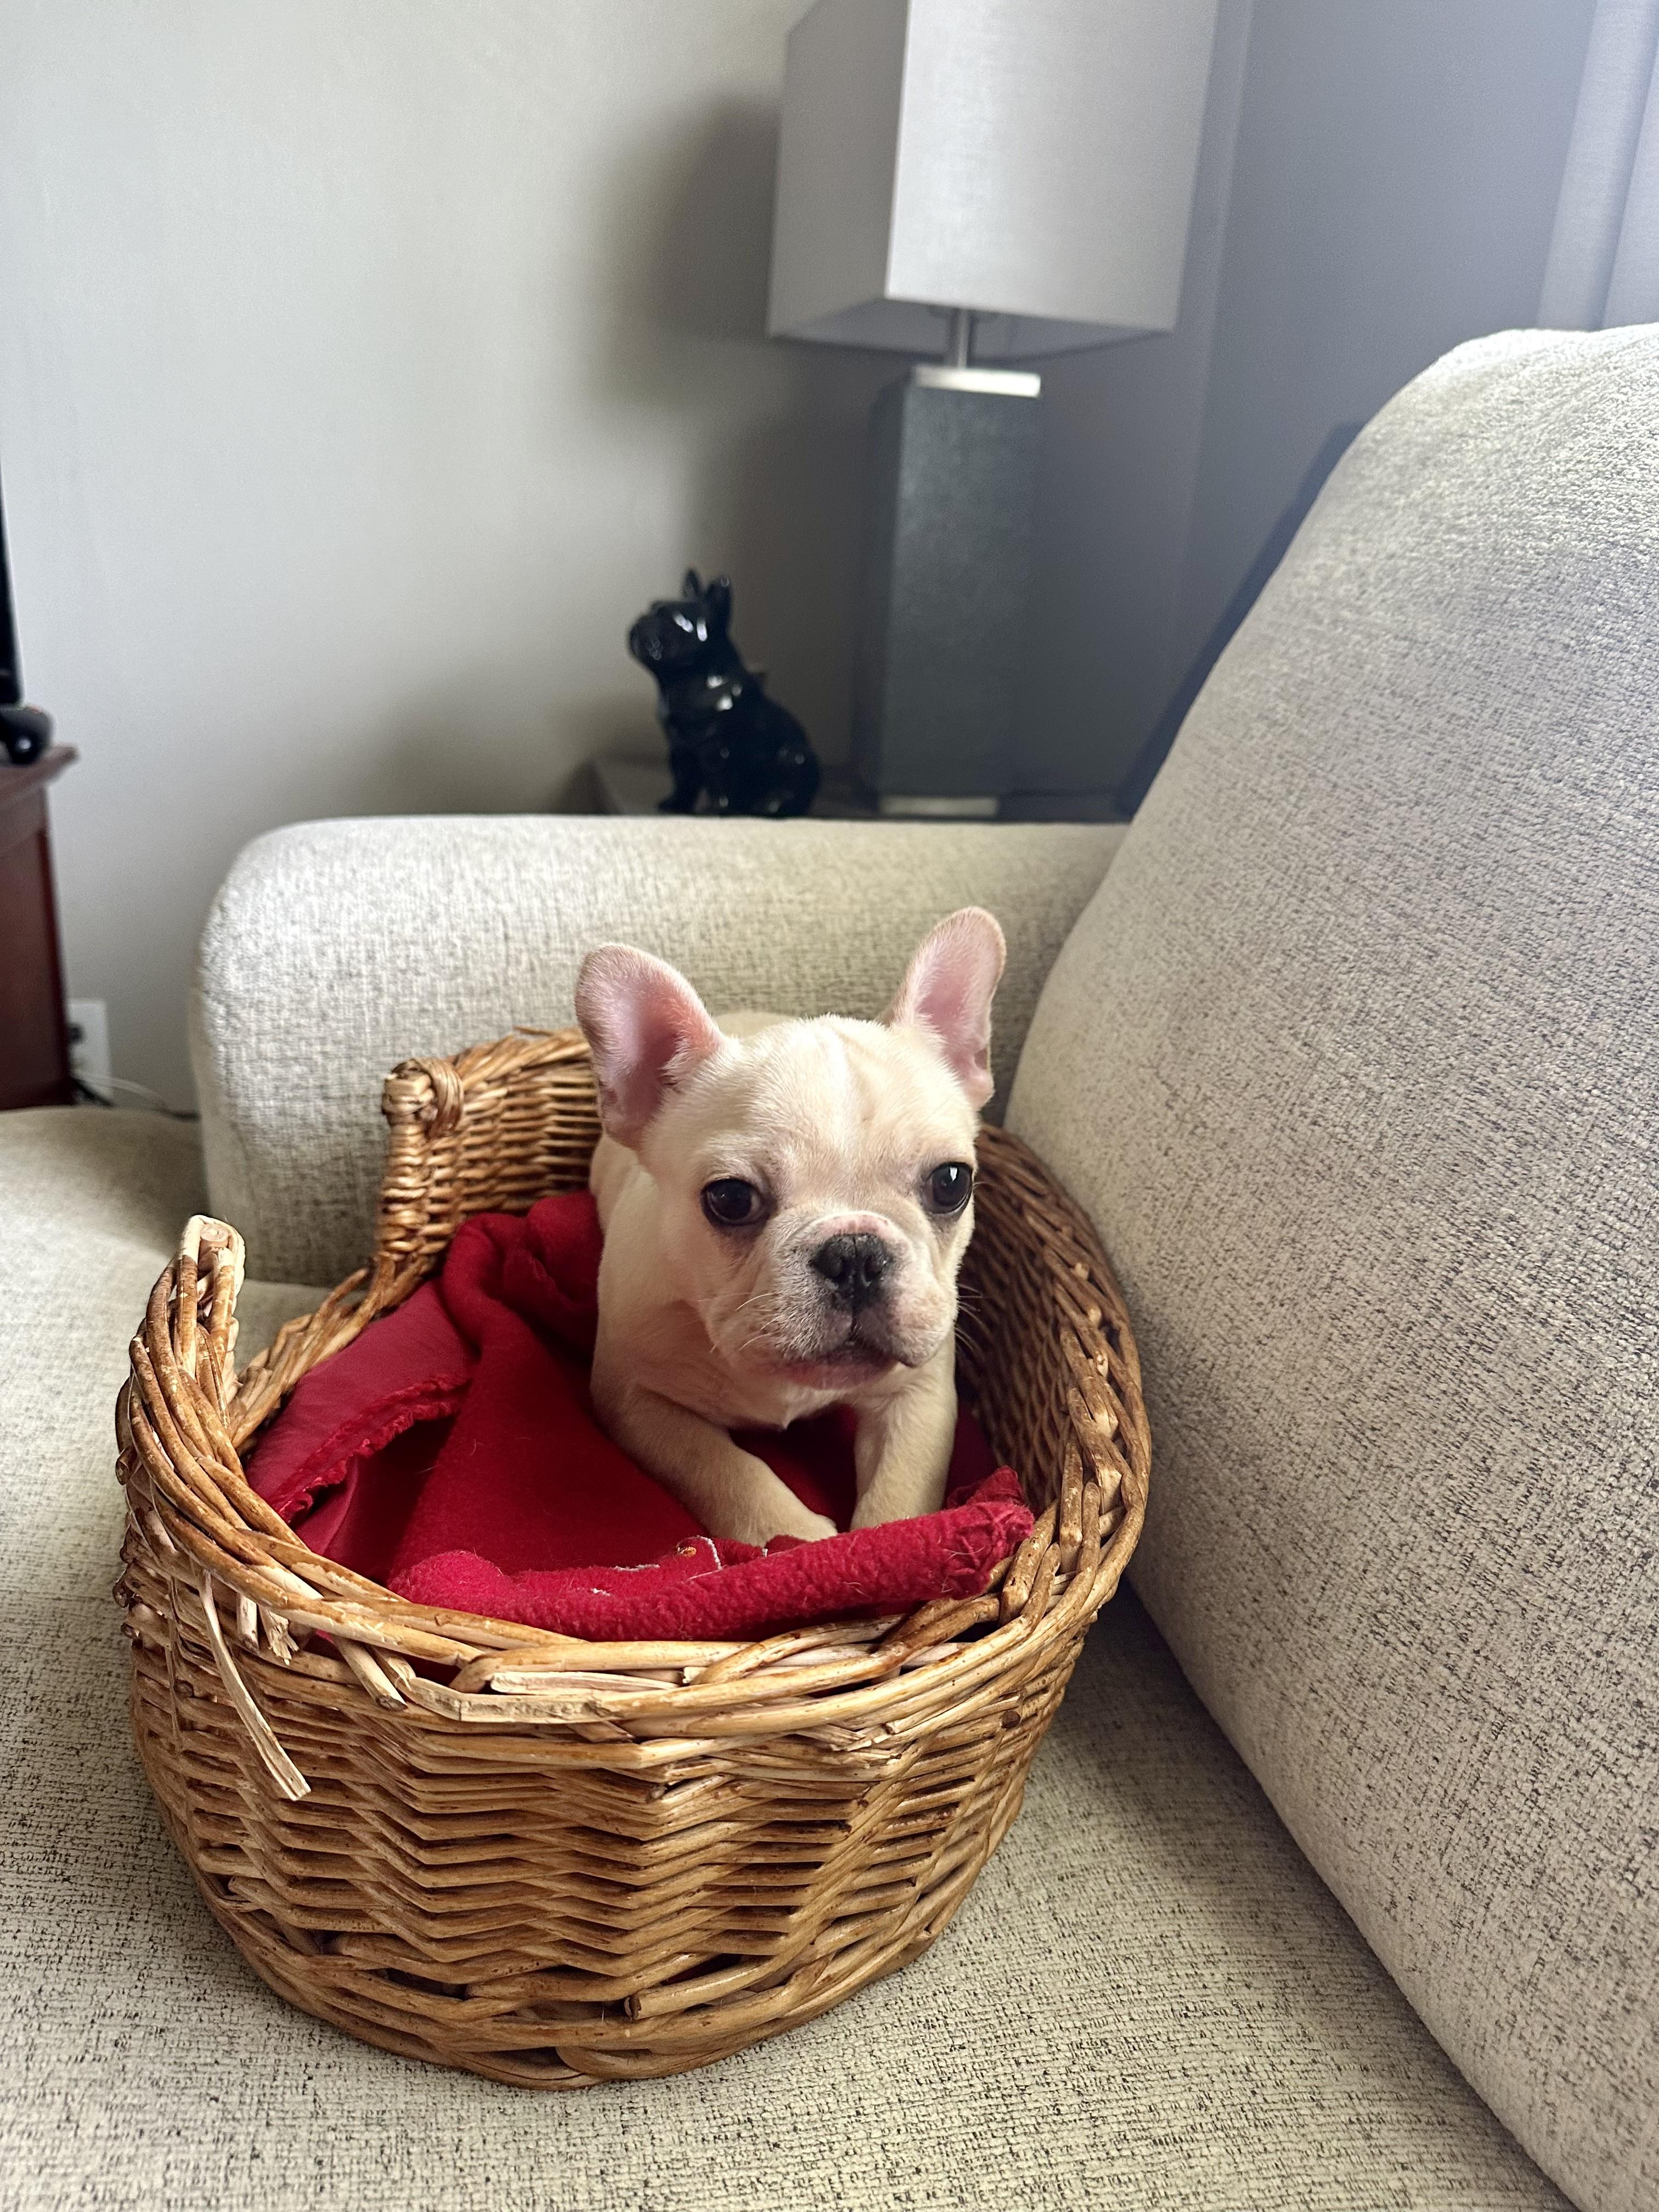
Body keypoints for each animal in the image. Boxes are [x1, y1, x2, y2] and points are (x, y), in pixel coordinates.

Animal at [573, 908, 1006, 1546]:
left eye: (951, 1183)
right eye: (730, 1199)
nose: (855, 1254)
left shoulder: (919, 1394)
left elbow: (901, 1495)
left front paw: (886, 1547)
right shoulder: (635, 1397)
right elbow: (722, 1468)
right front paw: (801, 1541)